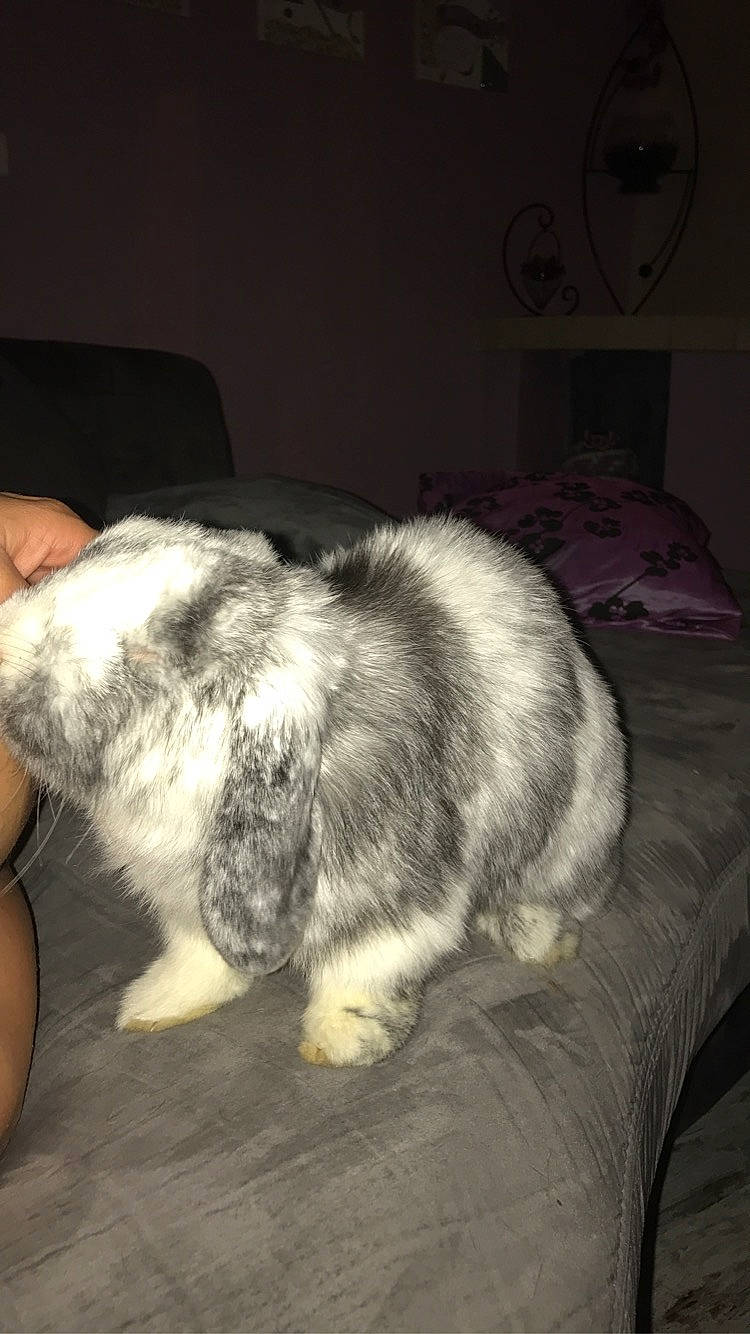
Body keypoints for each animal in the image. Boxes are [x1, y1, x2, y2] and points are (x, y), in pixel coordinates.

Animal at [0, 512, 627, 1066]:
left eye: (149, 652)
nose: (3, 642)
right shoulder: (188, 908)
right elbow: (201, 959)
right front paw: (153, 1007)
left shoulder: (393, 907)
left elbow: (363, 972)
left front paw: (338, 1045)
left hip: (572, 836)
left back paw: (538, 937)